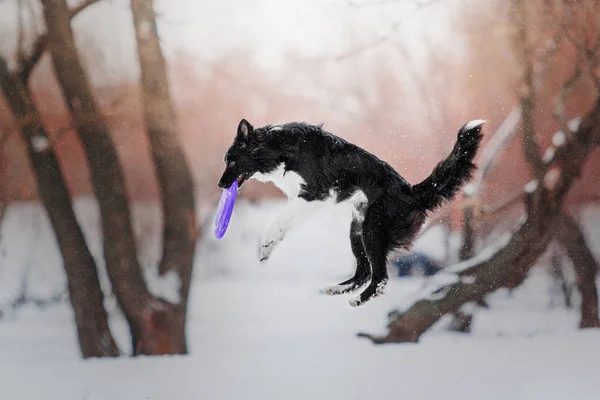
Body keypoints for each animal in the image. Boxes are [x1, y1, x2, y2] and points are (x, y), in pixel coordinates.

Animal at [218, 119, 486, 306]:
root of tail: (411, 191)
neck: (278, 147)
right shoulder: (304, 199)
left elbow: (278, 220)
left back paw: (358, 299)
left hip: (373, 230)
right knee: (364, 270)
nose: (221, 185)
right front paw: (270, 246)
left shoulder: (315, 192)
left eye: (231, 161)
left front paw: (266, 244)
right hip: (357, 231)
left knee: (380, 276)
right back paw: (338, 289)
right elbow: (285, 221)